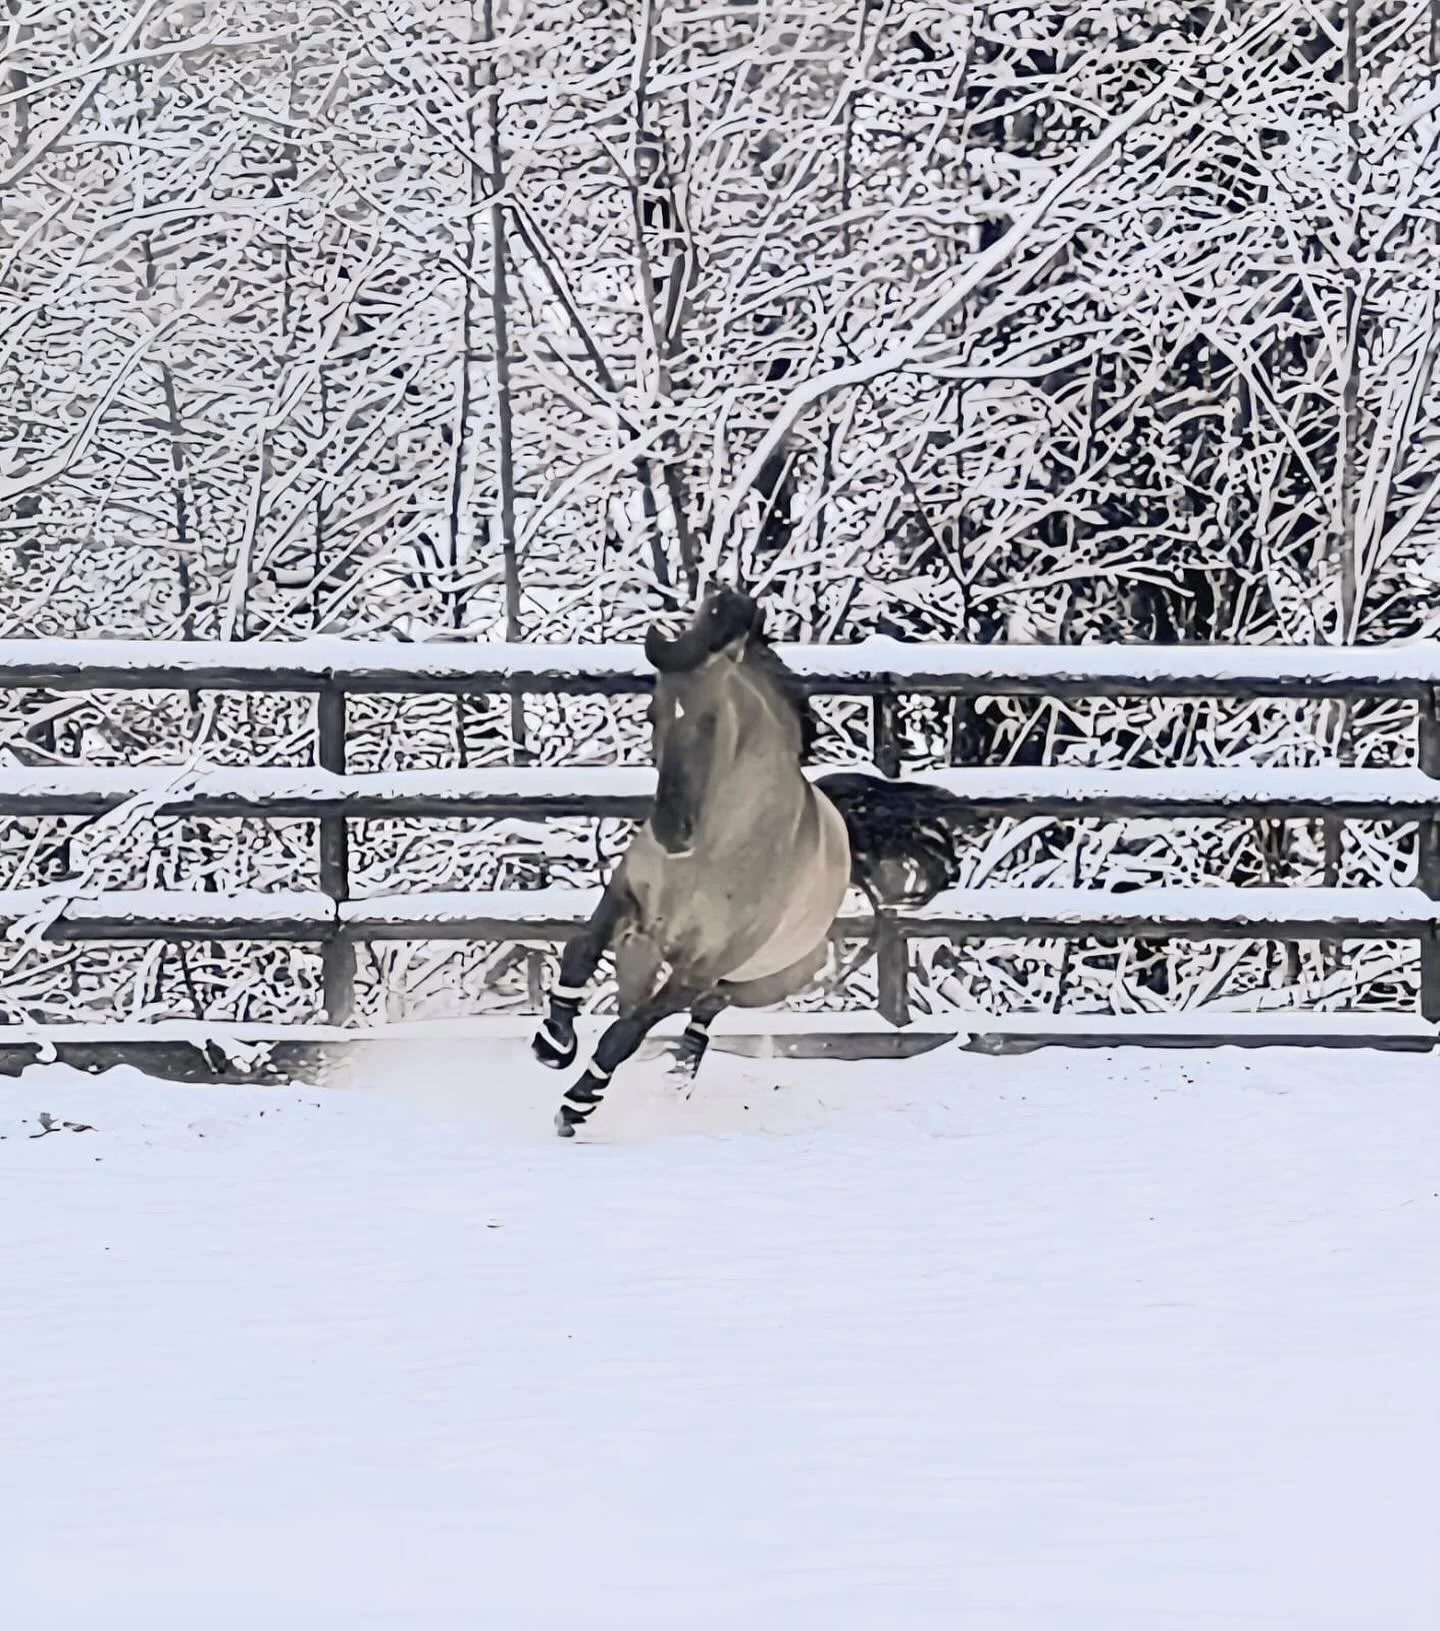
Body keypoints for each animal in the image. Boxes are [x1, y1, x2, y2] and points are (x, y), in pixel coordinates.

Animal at [531, 586, 974, 1136]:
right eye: (653, 715)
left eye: (712, 721)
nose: (672, 831)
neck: (714, 851)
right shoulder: (627, 898)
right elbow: (580, 950)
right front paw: (553, 1041)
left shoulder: (702, 967)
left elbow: (626, 1032)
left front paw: (578, 1103)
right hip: (648, 949)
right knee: (644, 998)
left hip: (759, 982)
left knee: (701, 1013)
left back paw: (674, 1076)